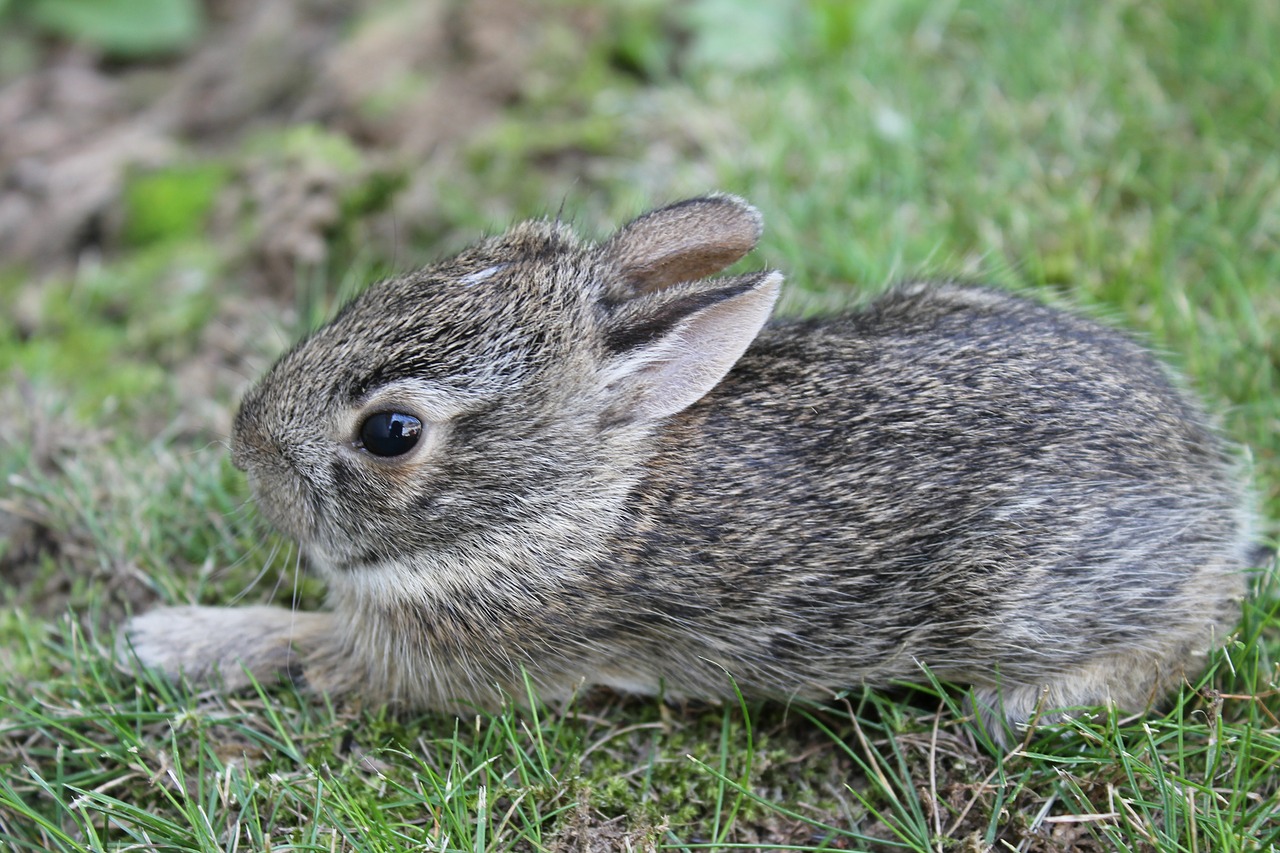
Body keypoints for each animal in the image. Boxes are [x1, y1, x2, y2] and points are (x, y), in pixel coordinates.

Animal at [120, 192, 1259, 737]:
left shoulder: (444, 657)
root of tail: (1212, 484)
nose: (244, 445)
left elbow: (305, 646)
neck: (573, 499)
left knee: (1193, 622)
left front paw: (169, 638)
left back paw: (1019, 710)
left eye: (391, 433)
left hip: (1025, 593)